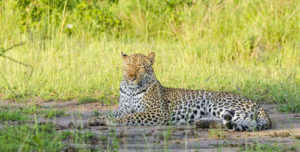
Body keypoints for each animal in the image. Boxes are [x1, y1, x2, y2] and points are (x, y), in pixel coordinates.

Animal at [88, 52, 272, 131]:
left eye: (139, 68)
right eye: (127, 67)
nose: (131, 78)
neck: (131, 90)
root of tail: (257, 104)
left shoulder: (157, 113)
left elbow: (130, 117)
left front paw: (112, 122)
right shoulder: (123, 108)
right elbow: (111, 113)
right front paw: (96, 119)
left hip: (217, 103)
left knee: (248, 122)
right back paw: (203, 123)